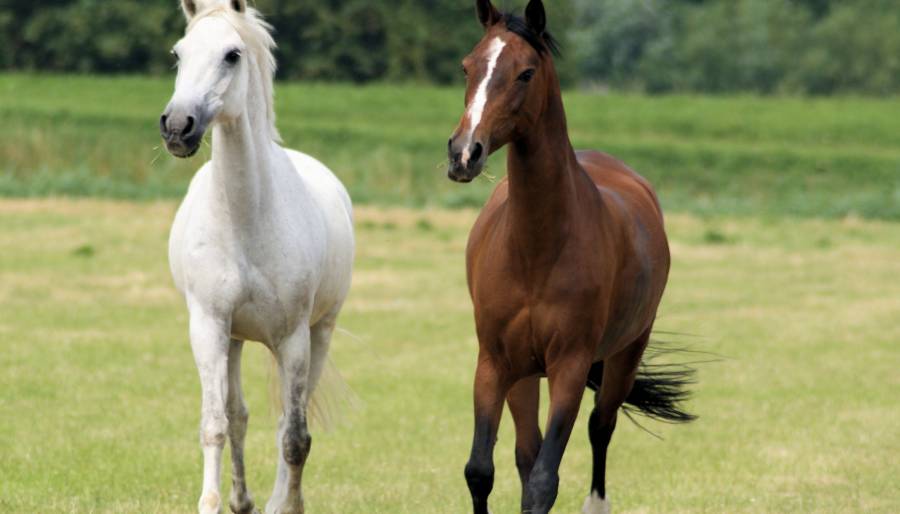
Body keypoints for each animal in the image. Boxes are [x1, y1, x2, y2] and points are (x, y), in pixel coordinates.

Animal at [158, 2, 356, 510]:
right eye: (178, 53)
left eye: (232, 54)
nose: (178, 126)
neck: (247, 218)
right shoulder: (208, 327)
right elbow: (217, 423)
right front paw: (213, 502)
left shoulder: (294, 338)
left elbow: (295, 437)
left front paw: (286, 504)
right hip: (233, 338)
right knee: (238, 415)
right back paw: (242, 501)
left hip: (319, 334)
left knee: (290, 421)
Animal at [448, 2, 696, 510]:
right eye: (467, 66)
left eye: (525, 73)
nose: (464, 154)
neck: (535, 250)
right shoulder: (494, 363)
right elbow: (482, 470)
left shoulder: (570, 366)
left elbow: (545, 479)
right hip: (525, 375)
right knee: (527, 450)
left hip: (626, 352)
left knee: (601, 427)